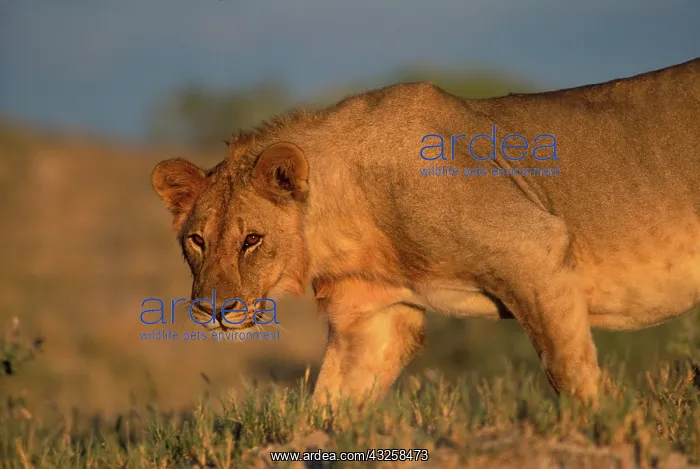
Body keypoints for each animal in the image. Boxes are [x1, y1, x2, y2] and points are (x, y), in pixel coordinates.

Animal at [152, 57, 700, 407]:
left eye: (252, 240)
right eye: (197, 241)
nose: (212, 311)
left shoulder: (534, 248)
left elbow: (570, 371)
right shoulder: (373, 317)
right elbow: (326, 410)